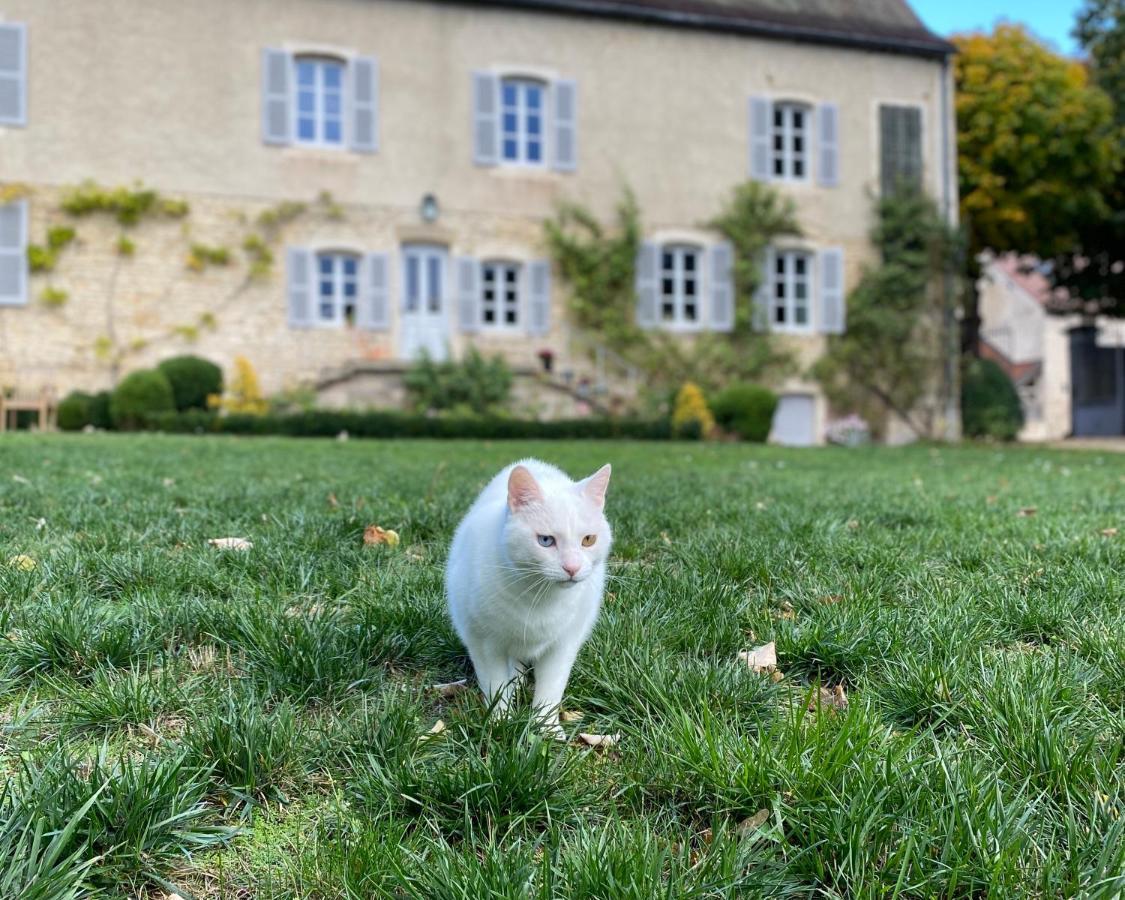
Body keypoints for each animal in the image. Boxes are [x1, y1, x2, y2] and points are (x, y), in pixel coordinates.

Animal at [443, 456, 612, 729]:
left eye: (588, 540)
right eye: (545, 540)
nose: (572, 568)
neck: (540, 597)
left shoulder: (564, 643)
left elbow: (551, 687)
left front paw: (547, 727)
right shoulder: (482, 641)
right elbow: (495, 683)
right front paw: (500, 721)